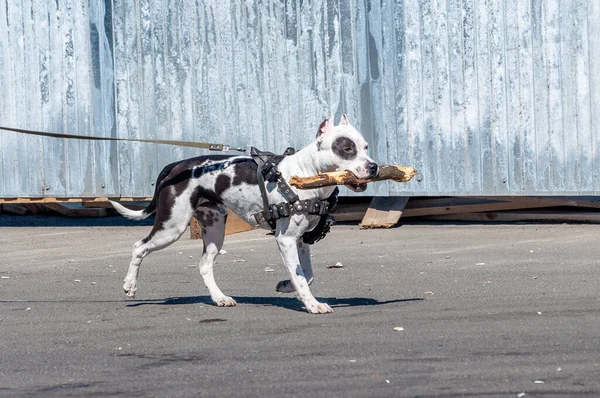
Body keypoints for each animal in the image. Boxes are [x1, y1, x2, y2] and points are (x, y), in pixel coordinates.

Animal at [110, 115, 378, 314]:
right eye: (347, 149)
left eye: (366, 147)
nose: (374, 166)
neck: (305, 173)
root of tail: (177, 166)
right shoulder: (286, 239)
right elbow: (302, 277)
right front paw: (312, 304)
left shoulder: (301, 240)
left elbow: (307, 274)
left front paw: (286, 285)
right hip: (172, 227)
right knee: (139, 246)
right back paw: (130, 285)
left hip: (214, 229)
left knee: (204, 265)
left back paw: (219, 298)